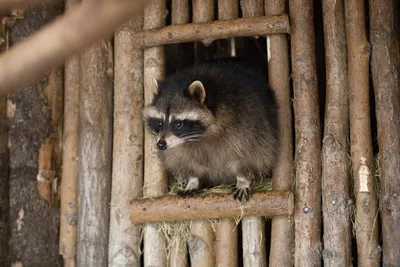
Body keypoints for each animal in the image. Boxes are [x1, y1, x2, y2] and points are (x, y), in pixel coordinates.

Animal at [143, 56, 278, 203]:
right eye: (160, 122)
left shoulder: (247, 121)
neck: (198, 137)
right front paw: (193, 180)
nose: (161, 144)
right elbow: (184, 159)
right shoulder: (177, 146)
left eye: (178, 124)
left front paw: (243, 179)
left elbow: (249, 153)